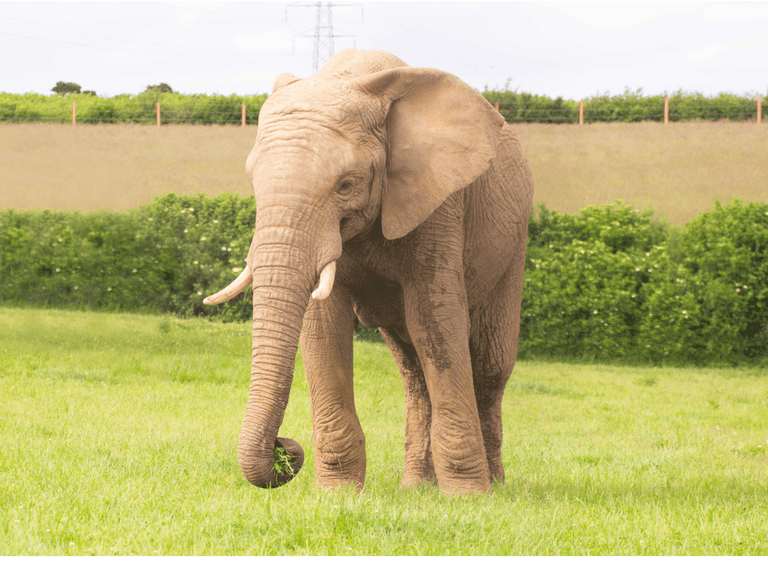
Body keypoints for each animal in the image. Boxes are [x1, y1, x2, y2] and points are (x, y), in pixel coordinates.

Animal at [204, 49, 533, 495]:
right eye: (253, 181)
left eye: (346, 184)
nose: (285, 449)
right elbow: (324, 326)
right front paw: (338, 493)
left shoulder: (439, 202)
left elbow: (436, 320)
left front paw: (468, 498)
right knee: (413, 370)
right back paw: (416, 487)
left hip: (514, 244)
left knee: (488, 365)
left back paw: (493, 485)